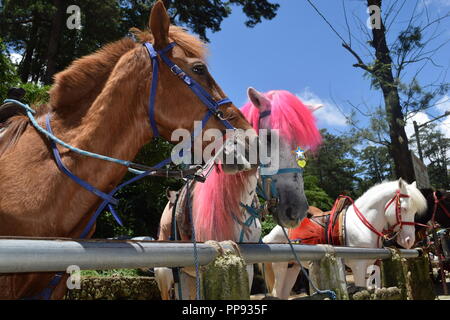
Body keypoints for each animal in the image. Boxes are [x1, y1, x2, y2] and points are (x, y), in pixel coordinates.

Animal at [262, 179, 428, 298]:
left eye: (415, 211)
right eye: (403, 208)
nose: (409, 240)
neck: (362, 224)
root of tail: (270, 235)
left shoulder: (370, 266)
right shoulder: (358, 265)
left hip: (293, 267)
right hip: (281, 267)